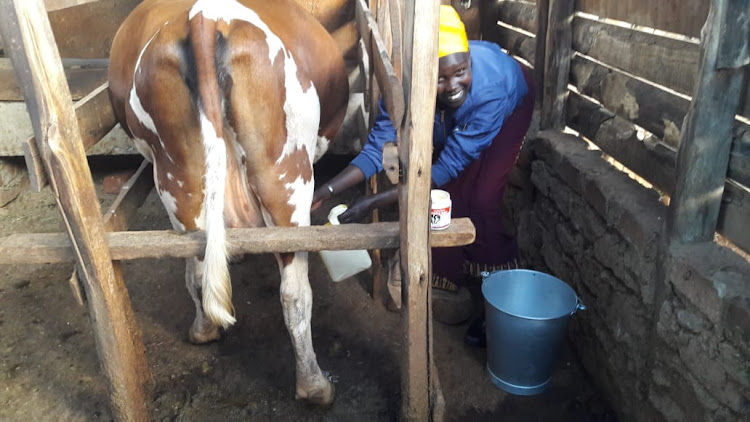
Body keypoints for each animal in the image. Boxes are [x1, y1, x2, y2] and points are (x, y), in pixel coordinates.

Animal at [108, 0, 350, 404]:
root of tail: (204, 18)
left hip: (178, 181)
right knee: (294, 293)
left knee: (198, 269)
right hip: (285, 176)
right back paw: (314, 386)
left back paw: (204, 330)